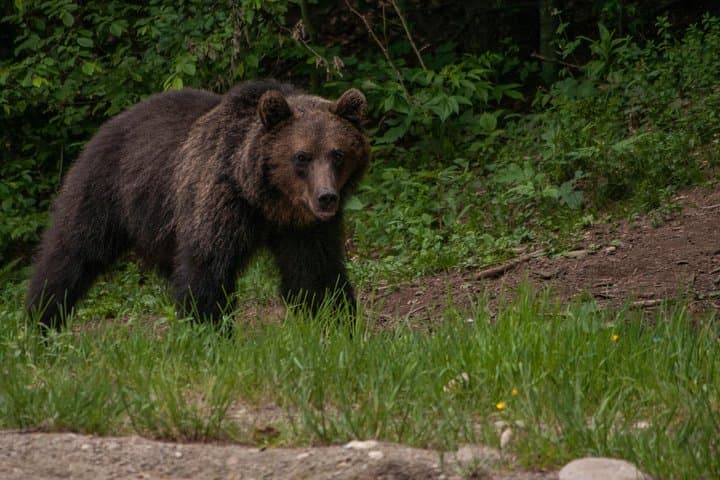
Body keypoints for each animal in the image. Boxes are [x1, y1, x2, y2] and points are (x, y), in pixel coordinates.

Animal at [26, 79, 370, 330]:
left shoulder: (303, 227)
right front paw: (209, 330)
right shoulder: (219, 197)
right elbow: (207, 265)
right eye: (302, 156)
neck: (266, 199)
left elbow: (315, 272)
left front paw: (337, 324)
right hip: (105, 190)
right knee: (72, 253)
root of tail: (108, 124)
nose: (326, 196)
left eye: (338, 153)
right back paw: (41, 320)